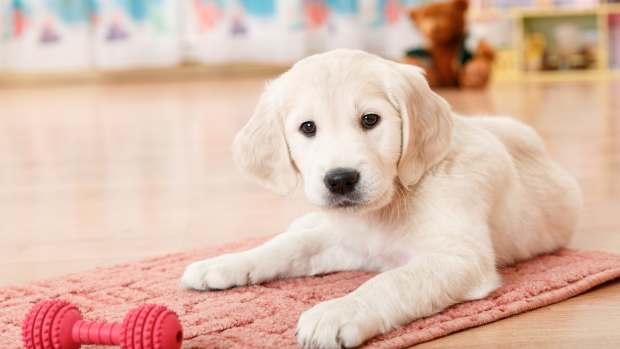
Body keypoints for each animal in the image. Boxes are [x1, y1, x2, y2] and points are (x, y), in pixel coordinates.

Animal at [180, 49, 580, 348]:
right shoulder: (347, 243)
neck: (393, 199)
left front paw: (337, 312)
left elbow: (391, 281)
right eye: (307, 127)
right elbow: (287, 247)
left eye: (370, 120)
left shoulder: (459, 257)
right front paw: (228, 263)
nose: (340, 180)